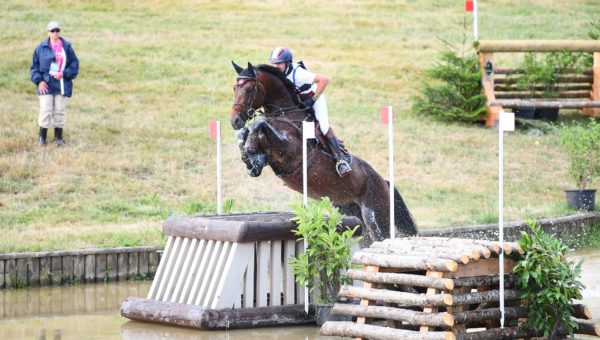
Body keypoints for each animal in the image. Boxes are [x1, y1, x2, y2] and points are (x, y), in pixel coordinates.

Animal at [227, 61, 414, 246]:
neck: (284, 114)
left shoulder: (289, 153)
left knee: (380, 236)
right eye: (235, 88)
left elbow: (259, 123)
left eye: (249, 89)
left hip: (375, 214)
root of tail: (384, 182)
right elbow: (246, 135)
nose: (234, 121)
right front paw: (251, 161)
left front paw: (251, 152)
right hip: (352, 214)